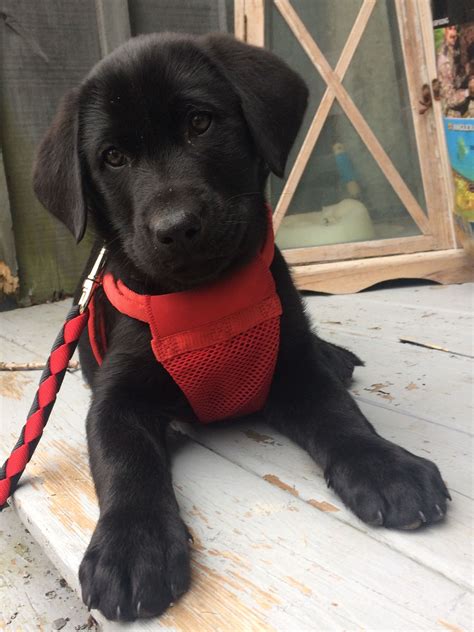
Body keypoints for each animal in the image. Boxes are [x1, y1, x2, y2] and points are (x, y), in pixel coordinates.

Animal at [32, 33, 448, 624]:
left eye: (200, 123)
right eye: (112, 157)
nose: (176, 228)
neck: (207, 301)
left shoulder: (291, 367)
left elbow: (340, 415)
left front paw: (387, 466)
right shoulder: (116, 400)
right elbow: (124, 461)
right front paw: (132, 546)